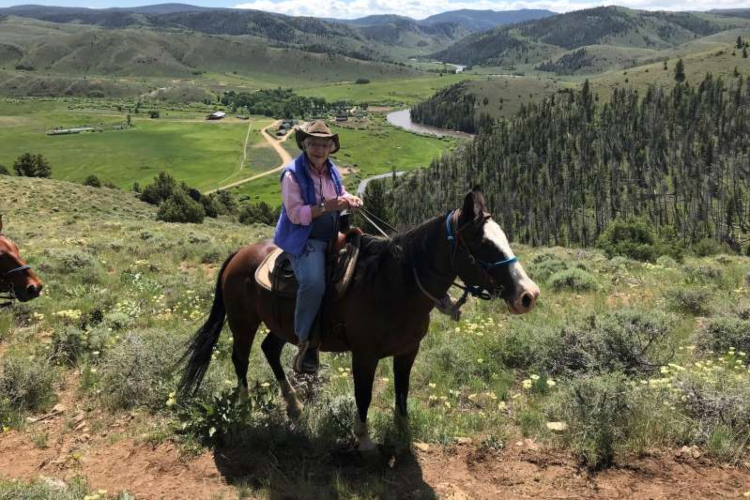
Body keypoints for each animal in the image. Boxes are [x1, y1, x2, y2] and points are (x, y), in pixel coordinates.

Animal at [179, 188, 544, 450]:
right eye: (483, 243)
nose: (529, 295)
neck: (394, 283)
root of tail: (237, 255)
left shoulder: (407, 351)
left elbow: (402, 391)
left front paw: (402, 433)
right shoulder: (364, 355)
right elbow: (364, 394)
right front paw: (364, 438)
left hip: (283, 324)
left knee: (270, 350)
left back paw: (294, 406)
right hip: (243, 322)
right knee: (240, 358)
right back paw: (244, 407)